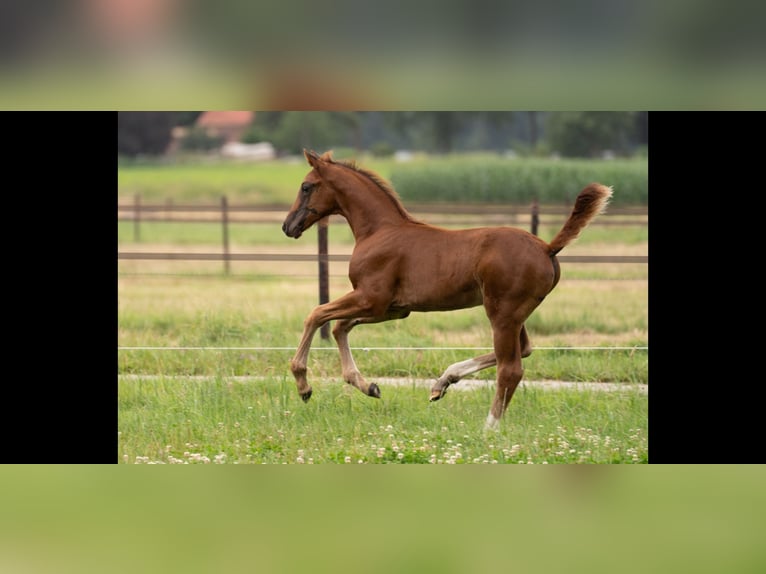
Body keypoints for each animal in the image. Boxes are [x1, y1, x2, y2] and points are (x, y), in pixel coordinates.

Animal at [282, 149, 612, 429]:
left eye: (306, 186)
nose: (288, 226)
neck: (379, 231)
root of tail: (546, 247)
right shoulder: (392, 309)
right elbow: (339, 327)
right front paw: (368, 386)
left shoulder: (371, 299)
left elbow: (316, 314)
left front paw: (303, 385)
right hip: (516, 313)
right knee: (524, 349)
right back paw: (442, 382)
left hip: (502, 313)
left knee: (511, 368)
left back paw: (489, 427)